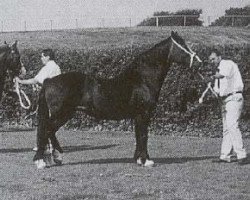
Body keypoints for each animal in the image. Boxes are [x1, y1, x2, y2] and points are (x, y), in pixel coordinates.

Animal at [33, 31, 201, 169]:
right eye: (182, 46)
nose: (199, 62)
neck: (142, 79)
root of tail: (49, 81)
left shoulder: (137, 116)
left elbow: (138, 136)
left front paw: (139, 159)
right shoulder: (143, 114)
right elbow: (143, 136)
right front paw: (146, 161)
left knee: (49, 131)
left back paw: (55, 157)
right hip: (61, 114)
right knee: (47, 130)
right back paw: (42, 161)